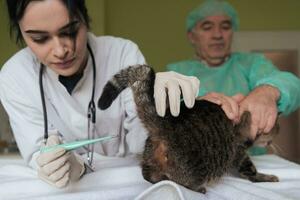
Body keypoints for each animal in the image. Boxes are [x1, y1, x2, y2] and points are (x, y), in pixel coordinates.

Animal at [98, 65, 278, 193]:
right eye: (274, 125)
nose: (277, 132)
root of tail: (165, 122)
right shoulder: (239, 152)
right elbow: (251, 171)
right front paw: (266, 177)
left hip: (150, 157)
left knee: (148, 174)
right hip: (196, 170)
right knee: (181, 182)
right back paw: (198, 188)